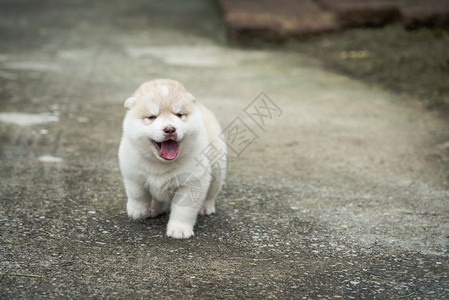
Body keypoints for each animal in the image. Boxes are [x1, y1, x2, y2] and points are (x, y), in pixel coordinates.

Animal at [118, 79, 226, 239]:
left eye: (179, 114)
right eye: (152, 117)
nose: (169, 129)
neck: (160, 163)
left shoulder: (191, 183)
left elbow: (183, 210)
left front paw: (179, 230)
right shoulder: (132, 172)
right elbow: (138, 193)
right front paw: (137, 210)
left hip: (217, 169)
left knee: (212, 193)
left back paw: (206, 208)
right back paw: (153, 208)